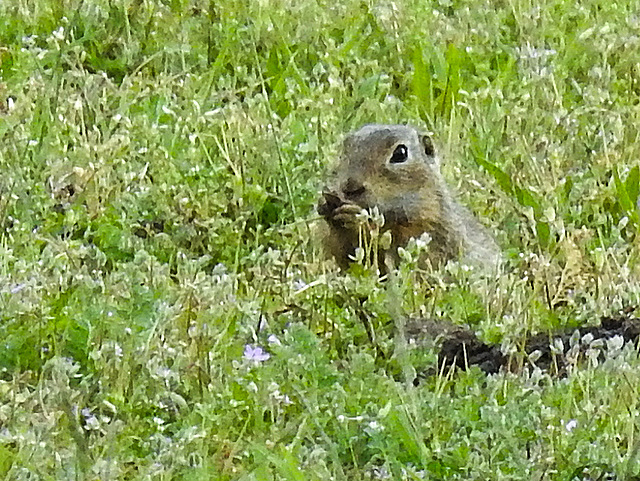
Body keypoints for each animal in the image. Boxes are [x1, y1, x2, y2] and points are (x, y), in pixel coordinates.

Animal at [318, 124, 502, 270]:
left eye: (400, 153)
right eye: (344, 150)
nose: (350, 187)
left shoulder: (428, 229)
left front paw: (354, 218)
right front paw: (325, 205)